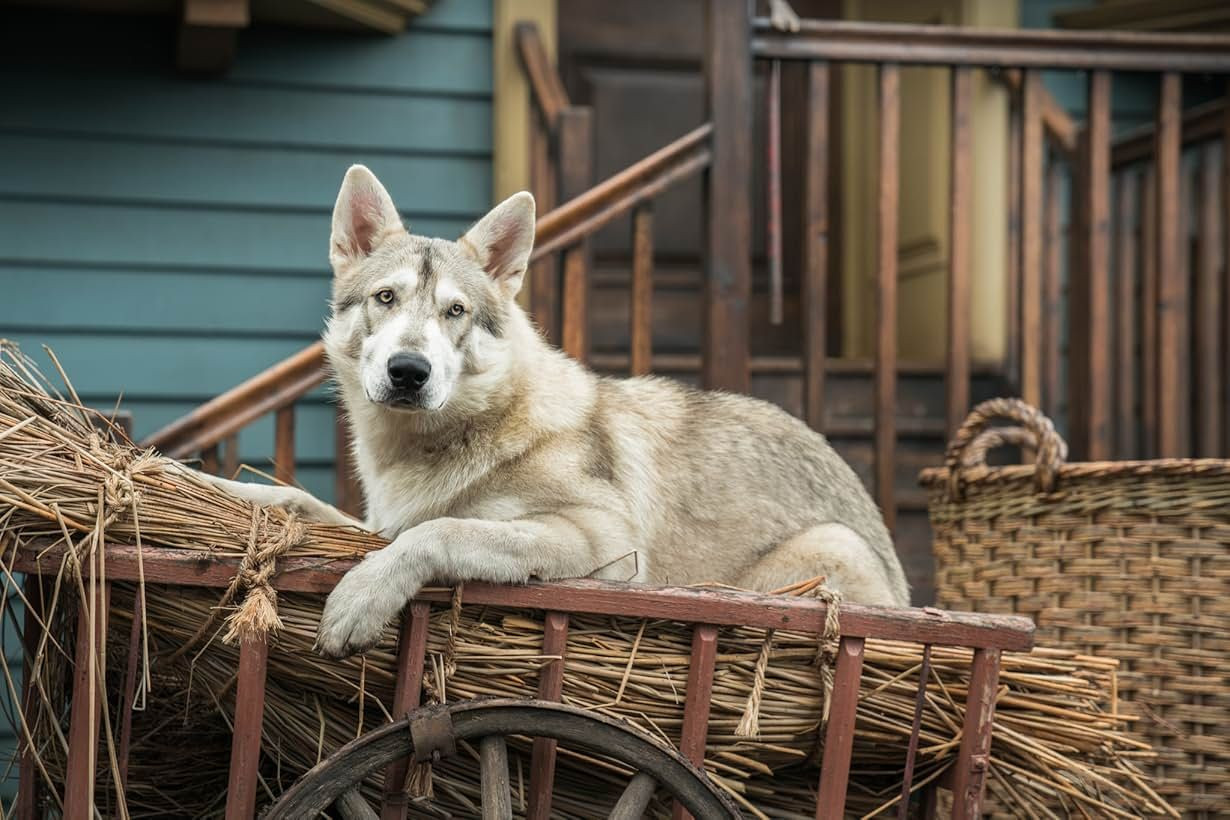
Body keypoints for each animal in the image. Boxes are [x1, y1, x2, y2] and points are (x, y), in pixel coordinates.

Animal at [201, 163, 910, 658]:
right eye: (384, 298)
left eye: (455, 311)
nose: (408, 371)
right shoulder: (375, 522)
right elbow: (293, 499)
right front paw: (202, 482)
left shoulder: (604, 546)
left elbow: (442, 532)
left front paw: (360, 598)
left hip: (823, 548)